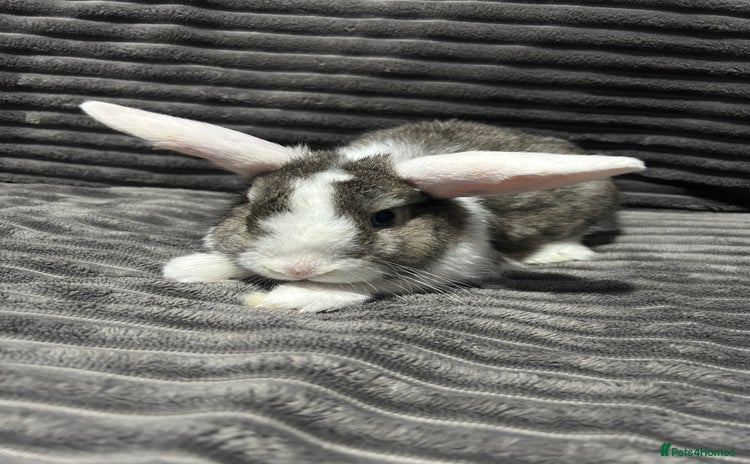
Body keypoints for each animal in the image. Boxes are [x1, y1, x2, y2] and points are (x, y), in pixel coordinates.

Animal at [81, 101, 644, 313]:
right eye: (255, 205)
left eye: (384, 217)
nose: (298, 267)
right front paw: (194, 266)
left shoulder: (459, 265)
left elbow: (367, 283)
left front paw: (291, 297)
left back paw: (561, 253)